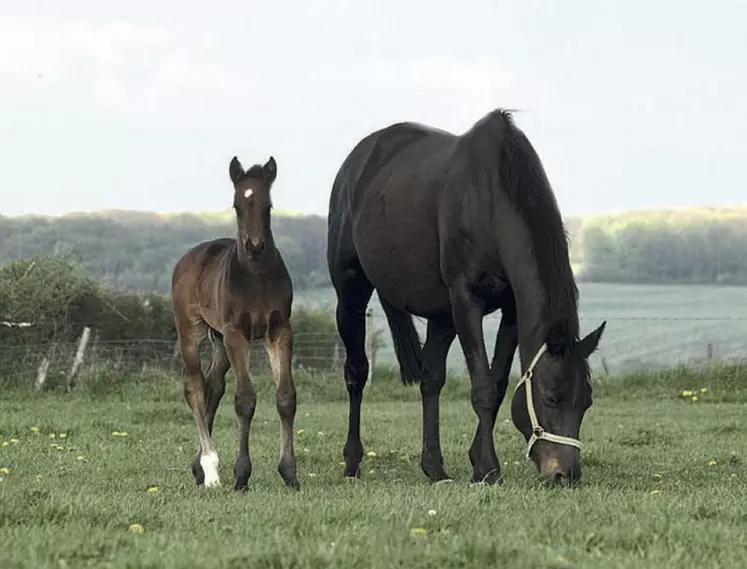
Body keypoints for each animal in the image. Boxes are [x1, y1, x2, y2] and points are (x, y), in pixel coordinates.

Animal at [171, 158, 300, 490]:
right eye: (236, 205)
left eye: (268, 205)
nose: (254, 245)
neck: (255, 277)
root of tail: (189, 256)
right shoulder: (237, 334)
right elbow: (245, 400)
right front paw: (241, 475)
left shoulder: (279, 331)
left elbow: (286, 397)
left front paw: (290, 473)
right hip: (192, 331)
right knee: (194, 386)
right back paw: (211, 467)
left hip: (219, 339)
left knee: (212, 385)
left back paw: (199, 468)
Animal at [328, 110, 608, 484]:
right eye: (551, 397)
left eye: (586, 402)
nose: (566, 474)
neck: (488, 199)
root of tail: (356, 161)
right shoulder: (466, 301)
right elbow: (483, 387)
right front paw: (488, 469)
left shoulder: (511, 310)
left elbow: (498, 383)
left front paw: (477, 463)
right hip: (351, 294)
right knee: (356, 372)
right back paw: (353, 462)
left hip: (441, 316)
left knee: (431, 380)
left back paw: (435, 468)